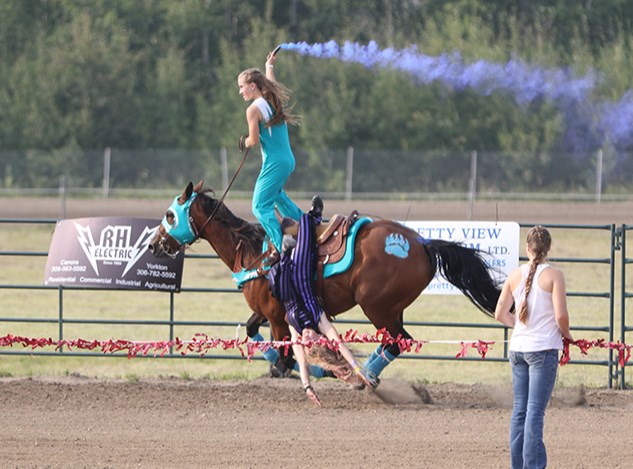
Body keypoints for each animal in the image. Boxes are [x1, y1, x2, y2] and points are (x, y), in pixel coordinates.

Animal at [149, 181, 504, 386]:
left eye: (170, 215)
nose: (153, 244)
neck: (253, 251)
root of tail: (423, 244)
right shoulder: (265, 311)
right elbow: (252, 332)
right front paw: (320, 369)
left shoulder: (277, 316)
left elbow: (285, 354)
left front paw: (304, 370)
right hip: (392, 309)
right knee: (394, 341)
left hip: (377, 306)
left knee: (397, 341)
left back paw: (365, 377)